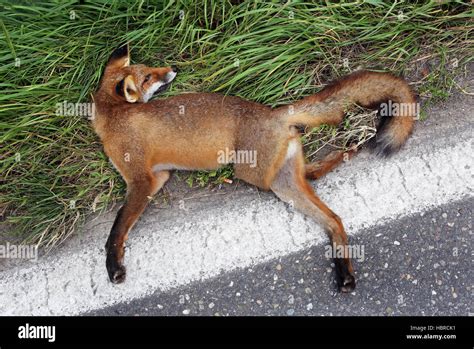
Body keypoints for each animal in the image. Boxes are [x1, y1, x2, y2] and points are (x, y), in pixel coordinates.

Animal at [91, 44, 414, 290]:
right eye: (148, 75)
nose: (172, 69)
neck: (115, 117)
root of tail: (275, 113)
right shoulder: (156, 177)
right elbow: (121, 223)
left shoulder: (142, 180)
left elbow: (117, 228)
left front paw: (113, 266)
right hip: (283, 181)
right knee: (329, 206)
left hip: (255, 174)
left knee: (315, 184)